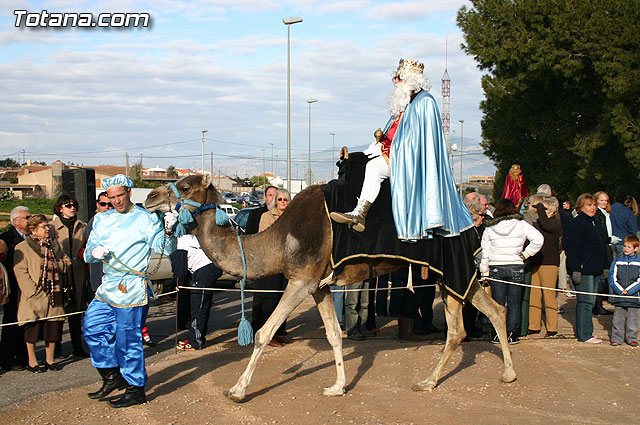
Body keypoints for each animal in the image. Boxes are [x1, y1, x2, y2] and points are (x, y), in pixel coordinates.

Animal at [144, 175, 516, 400]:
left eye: (186, 186)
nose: (149, 197)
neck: (277, 240)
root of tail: (471, 219)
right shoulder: (318, 286)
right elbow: (335, 335)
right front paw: (337, 386)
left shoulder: (301, 280)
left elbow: (264, 333)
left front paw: (237, 390)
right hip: (452, 275)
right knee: (483, 316)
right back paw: (474, 377)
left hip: (452, 270)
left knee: (470, 321)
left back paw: (477, 376)